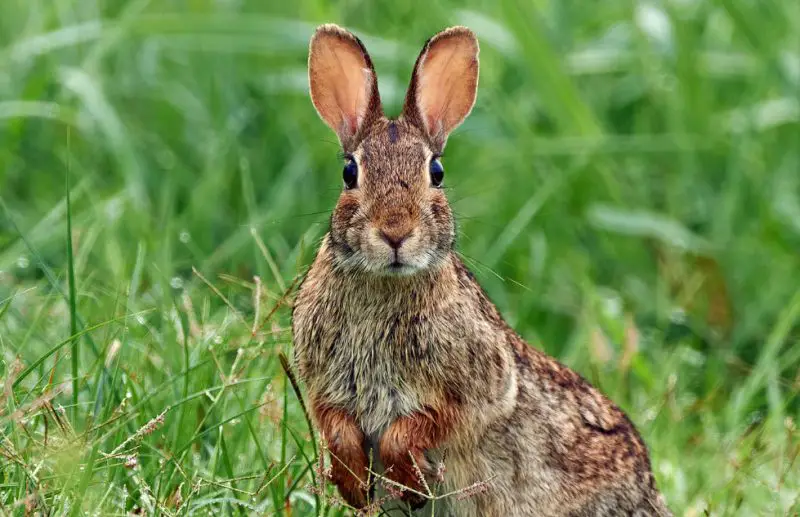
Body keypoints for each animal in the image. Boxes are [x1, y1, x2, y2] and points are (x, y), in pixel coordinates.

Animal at [292, 23, 672, 517]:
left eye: (436, 172)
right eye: (349, 173)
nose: (395, 232)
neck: (385, 284)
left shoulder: (477, 391)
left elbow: (420, 427)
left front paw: (406, 481)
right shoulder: (325, 388)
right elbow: (335, 425)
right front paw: (354, 484)